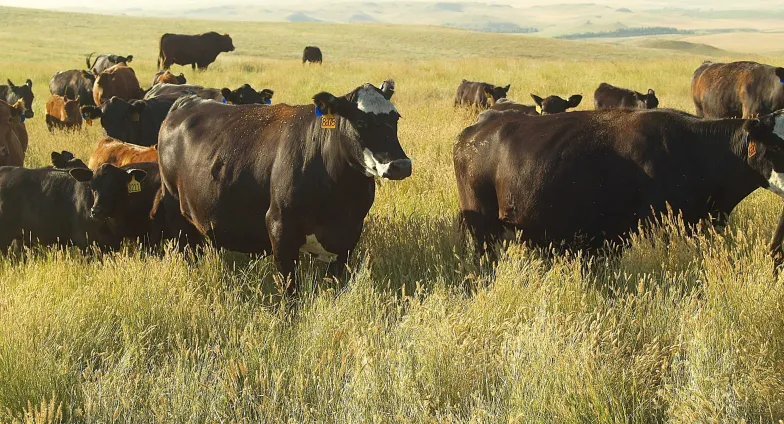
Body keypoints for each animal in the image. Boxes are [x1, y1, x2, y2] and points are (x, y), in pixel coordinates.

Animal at [153, 83, 410, 294]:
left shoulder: (349, 235)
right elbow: (290, 289)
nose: (400, 165)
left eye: (396, 118)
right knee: (188, 253)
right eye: (361, 121)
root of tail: (187, 101)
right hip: (176, 210)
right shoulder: (280, 227)